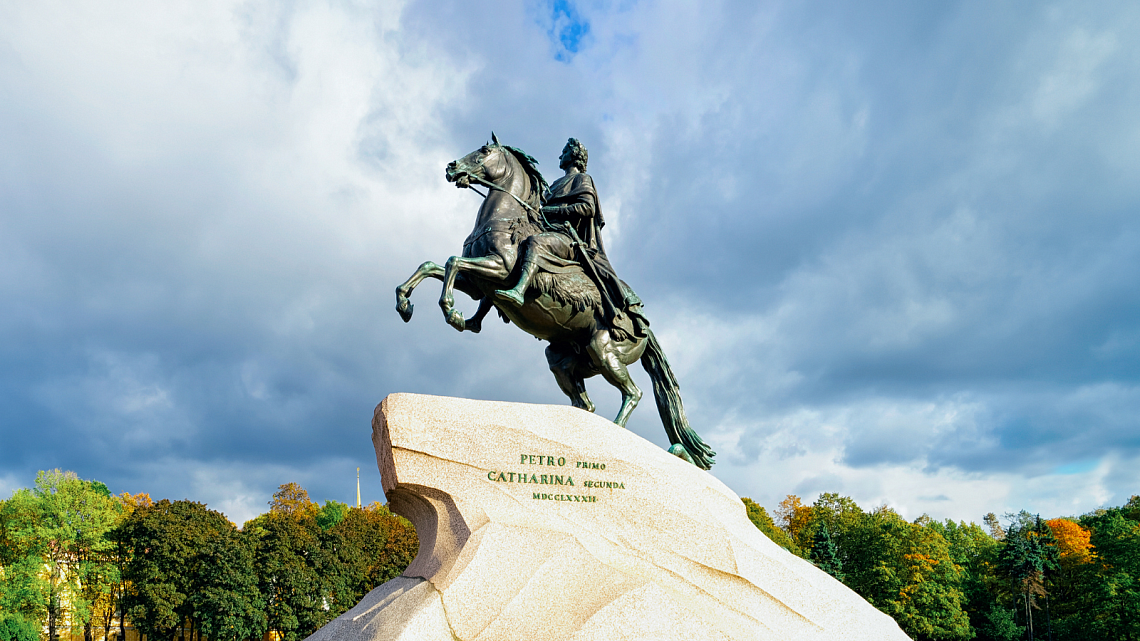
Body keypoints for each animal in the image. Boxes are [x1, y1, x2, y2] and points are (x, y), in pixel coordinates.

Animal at [392, 132, 711, 467]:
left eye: (485, 150)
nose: (451, 168)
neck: (506, 218)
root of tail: (645, 328)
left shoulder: (498, 268)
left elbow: (452, 262)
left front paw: (451, 310)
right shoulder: (478, 284)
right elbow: (431, 266)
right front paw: (405, 304)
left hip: (604, 350)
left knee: (633, 393)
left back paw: (617, 432)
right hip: (563, 360)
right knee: (585, 403)